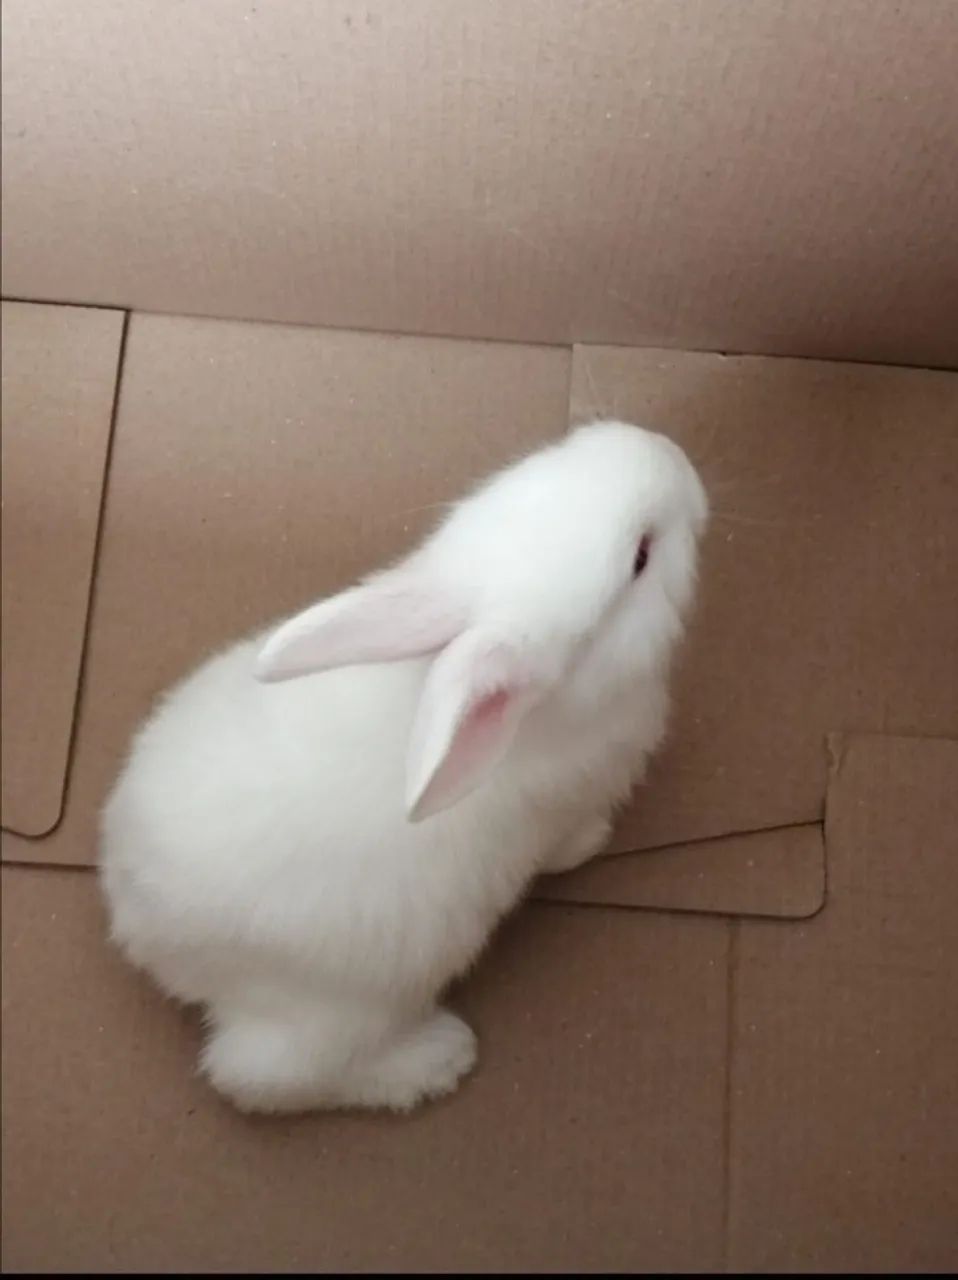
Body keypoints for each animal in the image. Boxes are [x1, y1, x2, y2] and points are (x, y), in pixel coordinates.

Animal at [99, 419, 708, 1115]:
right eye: (641, 557)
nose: (671, 453)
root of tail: (139, 922)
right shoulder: (571, 802)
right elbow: (569, 841)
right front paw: (594, 843)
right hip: (332, 1014)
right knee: (262, 1078)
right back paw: (434, 1059)